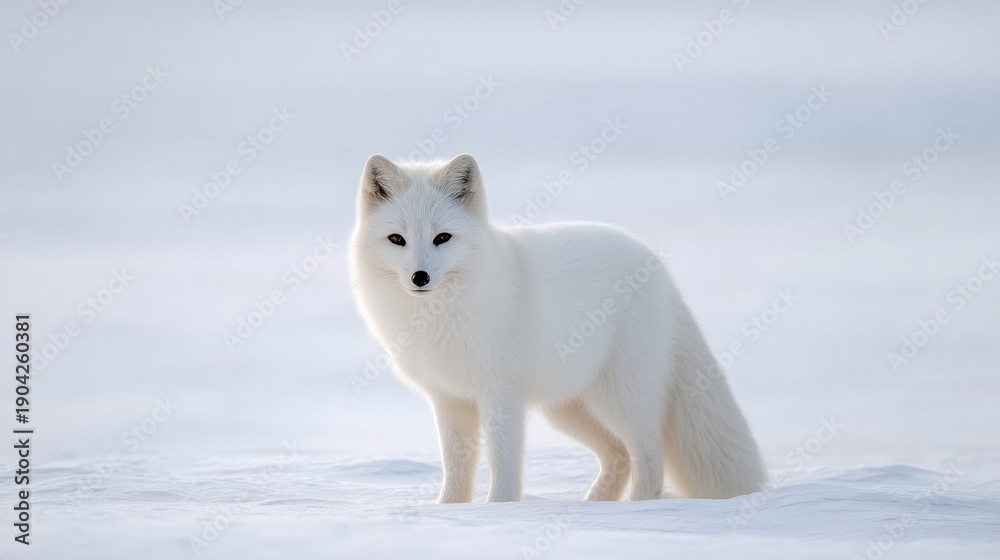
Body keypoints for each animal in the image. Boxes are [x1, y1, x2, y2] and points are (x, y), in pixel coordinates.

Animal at [348, 153, 767, 503]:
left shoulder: (502, 393)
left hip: (620, 398)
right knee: (619, 457)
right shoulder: (448, 397)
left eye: (442, 238)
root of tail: (658, 269)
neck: (438, 317)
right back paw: (594, 506)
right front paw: (449, 511)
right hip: (569, 407)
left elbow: (503, 464)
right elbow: (455, 465)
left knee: (649, 453)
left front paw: (499, 509)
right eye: (397, 239)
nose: (419, 277)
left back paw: (639, 507)